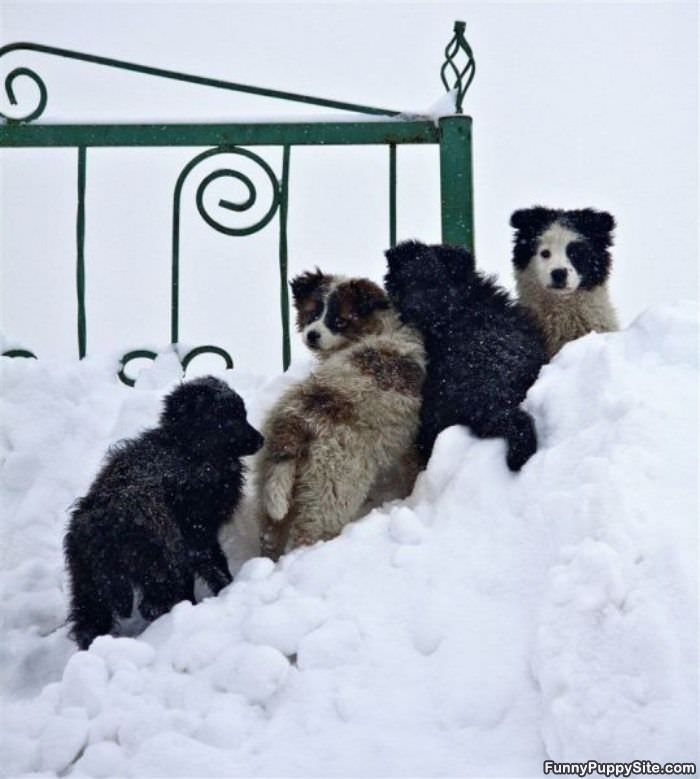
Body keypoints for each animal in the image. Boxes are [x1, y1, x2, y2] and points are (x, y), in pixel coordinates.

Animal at [65, 374, 262, 648]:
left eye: (242, 413)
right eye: (228, 418)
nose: (261, 440)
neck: (185, 446)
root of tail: (103, 528)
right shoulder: (198, 531)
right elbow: (214, 564)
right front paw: (227, 589)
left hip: (87, 583)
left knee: (89, 623)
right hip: (158, 566)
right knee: (152, 605)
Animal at [254, 272, 424, 556]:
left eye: (339, 320)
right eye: (312, 314)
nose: (312, 334)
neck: (380, 327)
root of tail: (296, 421)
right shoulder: (408, 446)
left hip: (272, 480)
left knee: (271, 530)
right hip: (331, 488)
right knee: (310, 534)